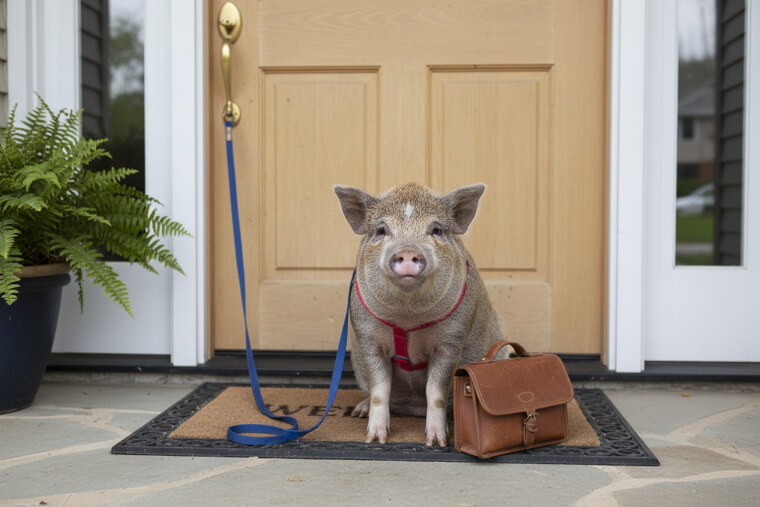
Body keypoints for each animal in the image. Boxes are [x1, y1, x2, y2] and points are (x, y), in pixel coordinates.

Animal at [334, 182, 505, 446]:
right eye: (381, 230)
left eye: (435, 229)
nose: (406, 251)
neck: (408, 316)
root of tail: (413, 408)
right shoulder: (367, 338)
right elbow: (379, 391)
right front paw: (375, 440)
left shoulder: (452, 340)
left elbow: (436, 392)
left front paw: (437, 442)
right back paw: (359, 411)